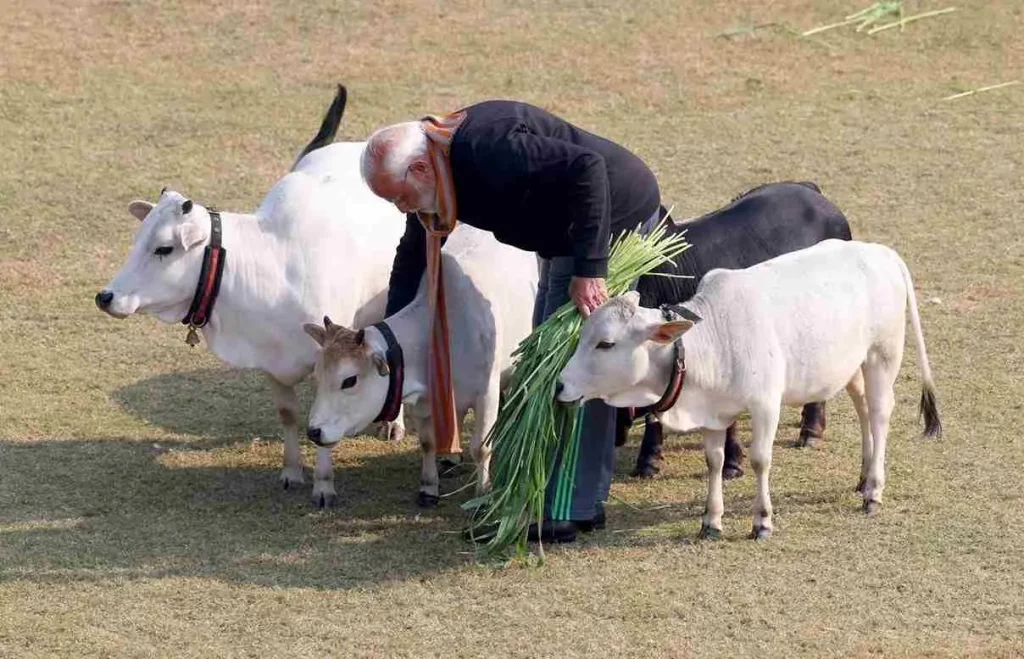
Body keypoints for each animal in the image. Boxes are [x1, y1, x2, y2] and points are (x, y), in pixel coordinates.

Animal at [95, 86, 408, 507]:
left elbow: (327, 420)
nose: (106, 296)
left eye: (164, 248)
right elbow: (289, 414)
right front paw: (291, 472)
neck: (271, 266)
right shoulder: (270, 362)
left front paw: (324, 485)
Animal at [302, 225, 538, 507]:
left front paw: (483, 493)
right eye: (317, 376)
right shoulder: (425, 401)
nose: (314, 432)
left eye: (349, 380)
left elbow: (481, 447)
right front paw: (428, 487)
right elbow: (427, 443)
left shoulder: (486, 394)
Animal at [557, 239, 941, 540]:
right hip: (852, 365)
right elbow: (714, 461)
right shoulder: (712, 412)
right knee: (863, 408)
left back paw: (874, 490)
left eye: (606, 344)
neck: (713, 338)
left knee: (879, 413)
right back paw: (863, 477)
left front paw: (762, 521)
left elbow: (760, 459)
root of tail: (882, 252)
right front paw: (711, 521)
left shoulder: (766, 404)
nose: (560, 383)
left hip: (882, 356)